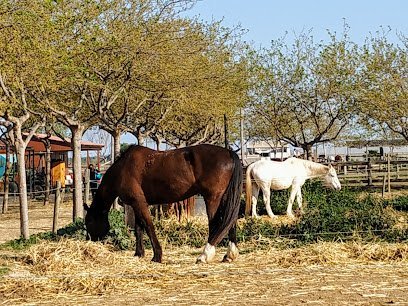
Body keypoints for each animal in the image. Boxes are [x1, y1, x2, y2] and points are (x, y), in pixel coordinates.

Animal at [83, 143, 242, 262]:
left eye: (89, 221)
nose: (90, 240)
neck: (123, 169)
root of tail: (228, 153)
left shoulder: (139, 203)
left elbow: (148, 226)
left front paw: (157, 256)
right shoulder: (136, 204)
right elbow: (139, 228)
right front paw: (139, 254)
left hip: (212, 198)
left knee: (216, 223)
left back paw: (205, 255)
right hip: (225, 198)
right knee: (230, 222)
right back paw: (229, 255)